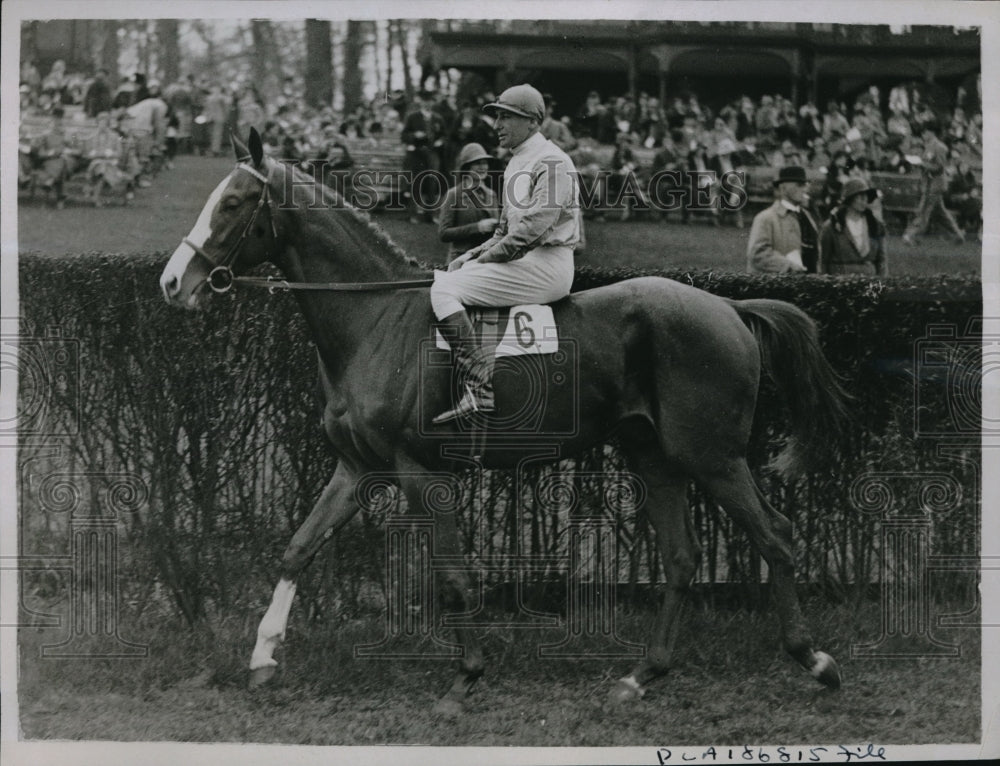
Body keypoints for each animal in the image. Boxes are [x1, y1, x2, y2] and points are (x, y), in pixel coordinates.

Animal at [160, 130, 848, 712]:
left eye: (234, 203)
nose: (172, 282)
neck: (376, 317)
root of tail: (731, 306)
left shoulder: (421, 474)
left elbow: (456, 579)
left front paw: (466, 676)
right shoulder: (356, 467)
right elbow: (298, 548)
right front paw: (262, 657)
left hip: (713, 456)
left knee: (775, 535)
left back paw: (815, 660)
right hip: (656, 458)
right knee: (682, 557)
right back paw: (642, 675)